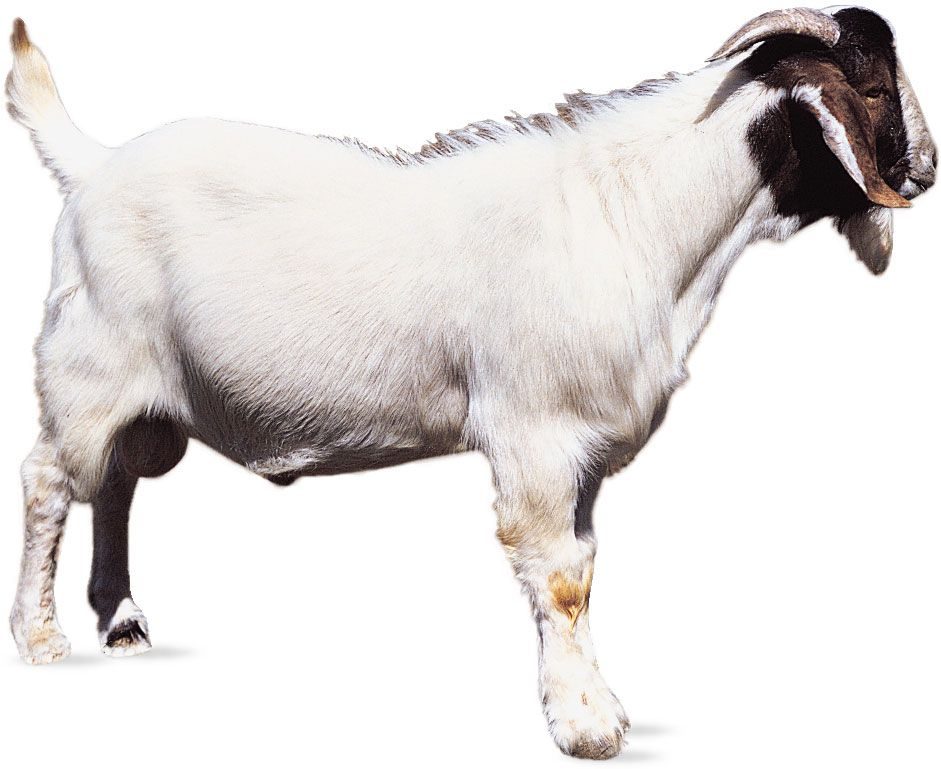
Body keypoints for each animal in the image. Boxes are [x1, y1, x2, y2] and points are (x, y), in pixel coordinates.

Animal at [6, 7, 936, 759]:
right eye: (872, 87)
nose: (924, 169)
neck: (636, 214)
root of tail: (91, 166)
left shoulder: (582, 452)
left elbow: (584, 563)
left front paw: (598, 710)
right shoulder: (536, 433)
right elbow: (560, 577)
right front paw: (586, 726)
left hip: (144, 402)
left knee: (116, 483)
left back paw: (122, 619)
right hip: (85, 370)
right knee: (51, 480)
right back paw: (41, 636)